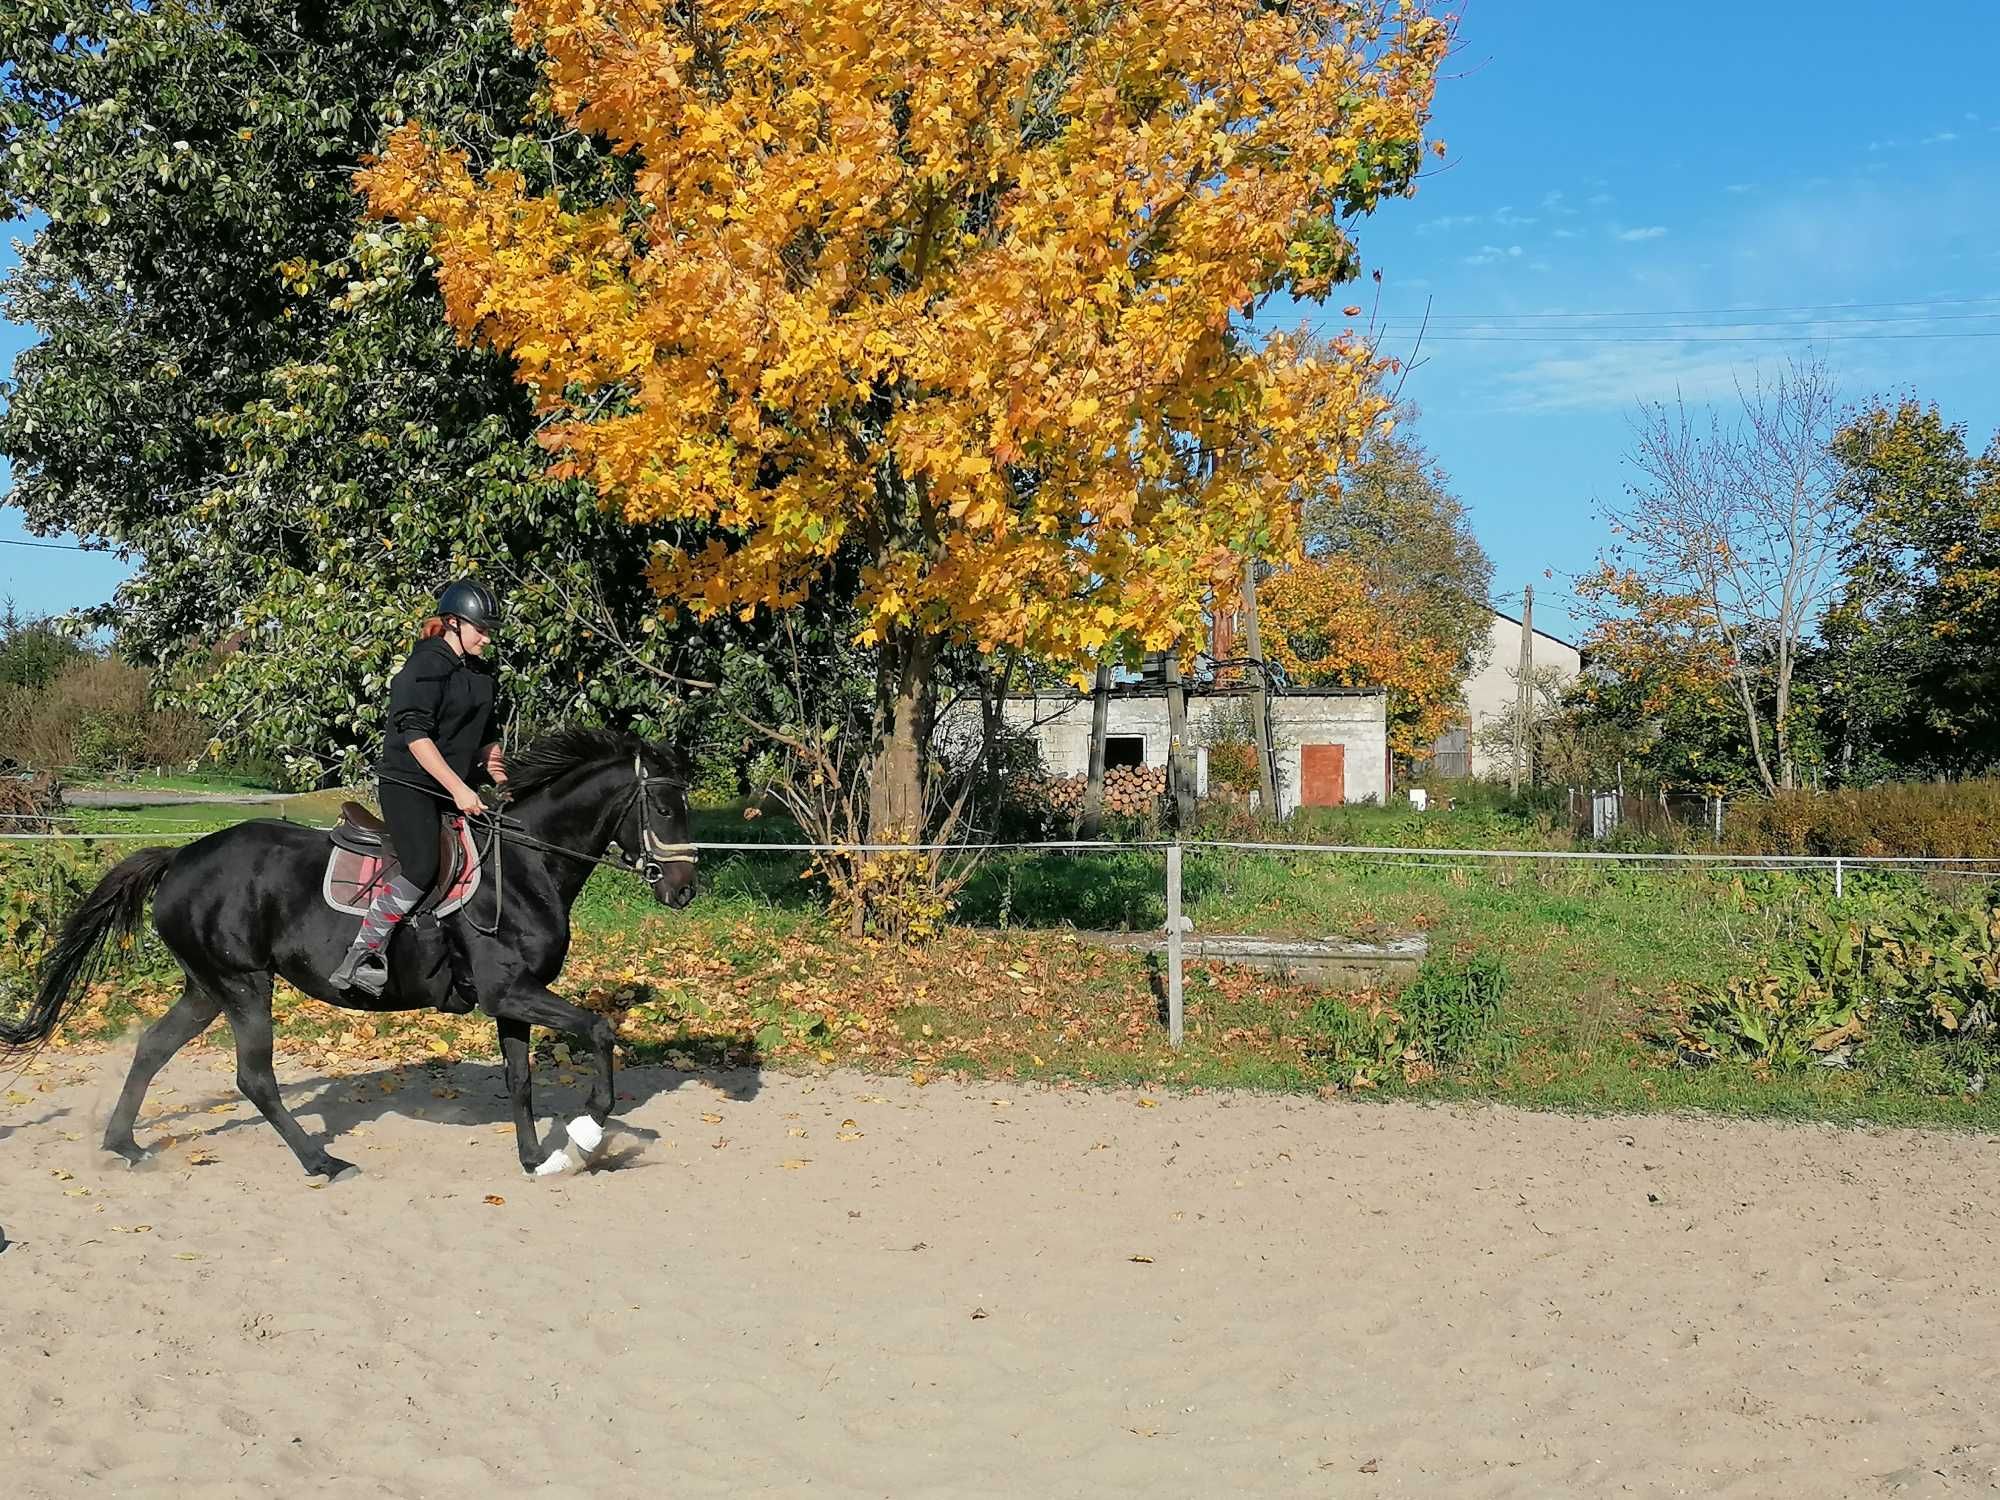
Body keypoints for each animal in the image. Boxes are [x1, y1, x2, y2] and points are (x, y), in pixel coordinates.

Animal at [0, 732, 700, 1184]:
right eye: (666, 807)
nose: (684, 890)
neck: (524, 868)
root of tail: (181, 857)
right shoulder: (512, 992)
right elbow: (600, 1030)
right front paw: (584, 1137)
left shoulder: (514, 1000)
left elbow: (520, 1080)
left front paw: (536, 1159)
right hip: (244, 986)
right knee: (254, 1078)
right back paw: (321, 1162)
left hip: (207, 987)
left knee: (152, 1048)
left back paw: (125, 1144)